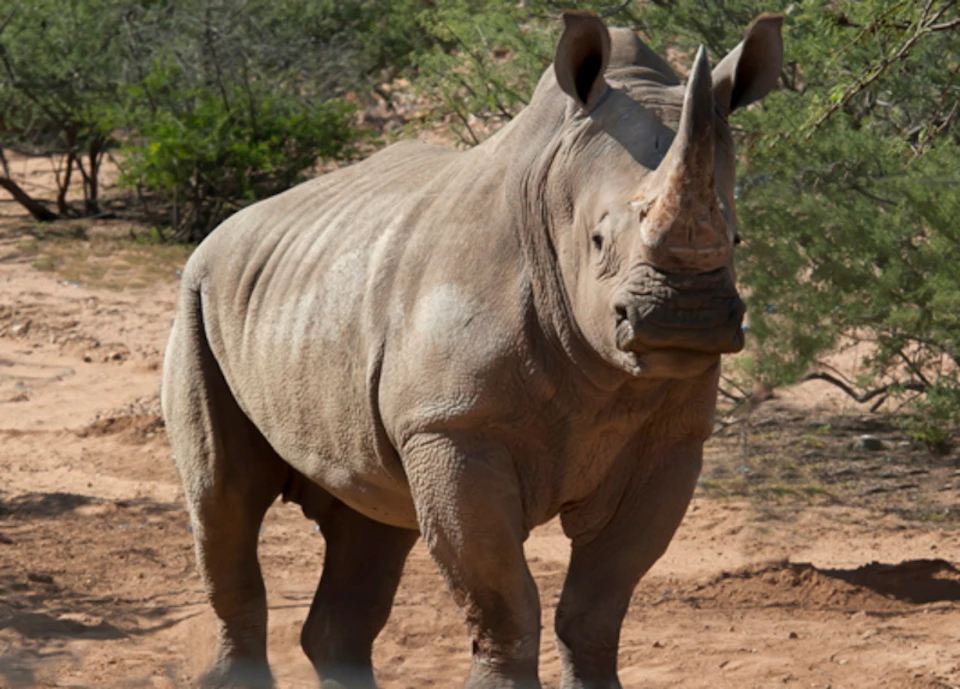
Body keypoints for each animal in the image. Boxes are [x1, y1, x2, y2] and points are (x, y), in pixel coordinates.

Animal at [162, 10, 783, 689]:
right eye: (597, 241)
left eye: (736, 238)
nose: (684, 318)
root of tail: (230, 227)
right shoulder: (452, 426)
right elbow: (504, 597)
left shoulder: (669, 440)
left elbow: (598, 603)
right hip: (196, 296)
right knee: (223, 495)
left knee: (371, 516)